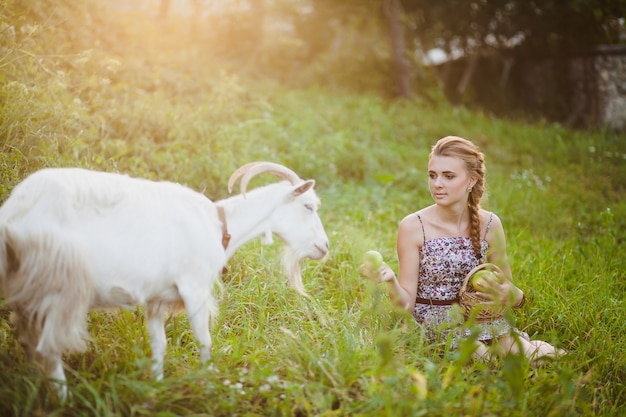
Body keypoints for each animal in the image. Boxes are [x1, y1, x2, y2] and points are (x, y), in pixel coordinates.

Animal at [0, 161, 330, 398]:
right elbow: (205, 340)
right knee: (48, 349)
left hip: (27, 287)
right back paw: (62, 401)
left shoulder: (157, 299)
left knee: (30, 344)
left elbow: (159, 345)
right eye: (308, 206)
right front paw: (207, 385)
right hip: (62, 285)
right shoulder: (194, 288)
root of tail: (15, 215)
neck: (219, 224)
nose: (325, 247)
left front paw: (156, 388)